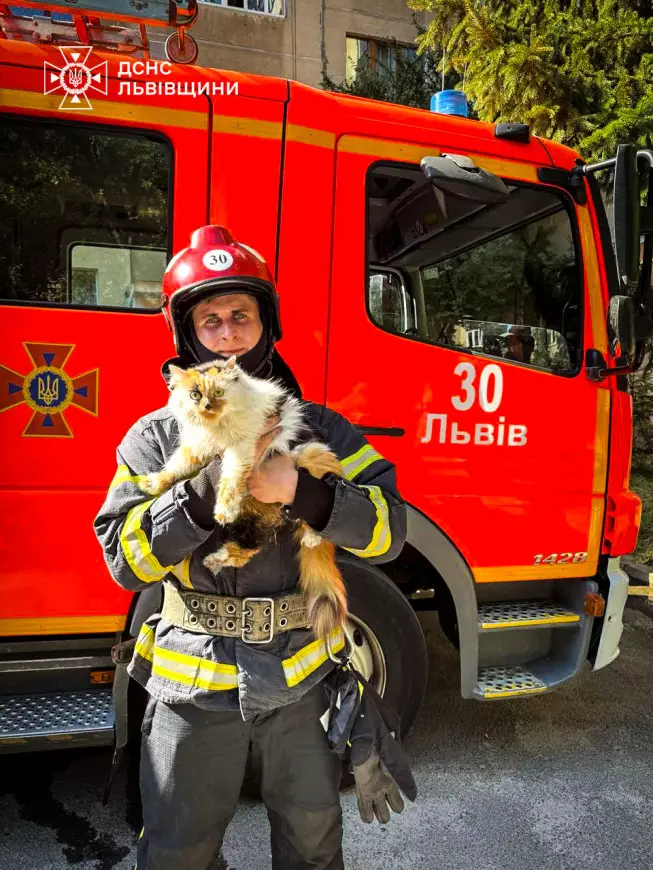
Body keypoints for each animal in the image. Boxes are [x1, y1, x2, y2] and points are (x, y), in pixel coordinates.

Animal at [138, 357, 348, 640]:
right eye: (195, 395)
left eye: (218, 392)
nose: (207, 406)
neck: (216, 428)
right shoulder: (197, 446)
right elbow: (176, 466)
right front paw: (154, 483)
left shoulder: (242, 448)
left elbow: (229, 479)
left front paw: (224, 510)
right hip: (253, 520)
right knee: (249, 548)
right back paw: (214, 560)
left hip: (312, 457)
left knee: (312, 516)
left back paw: (312, 537)